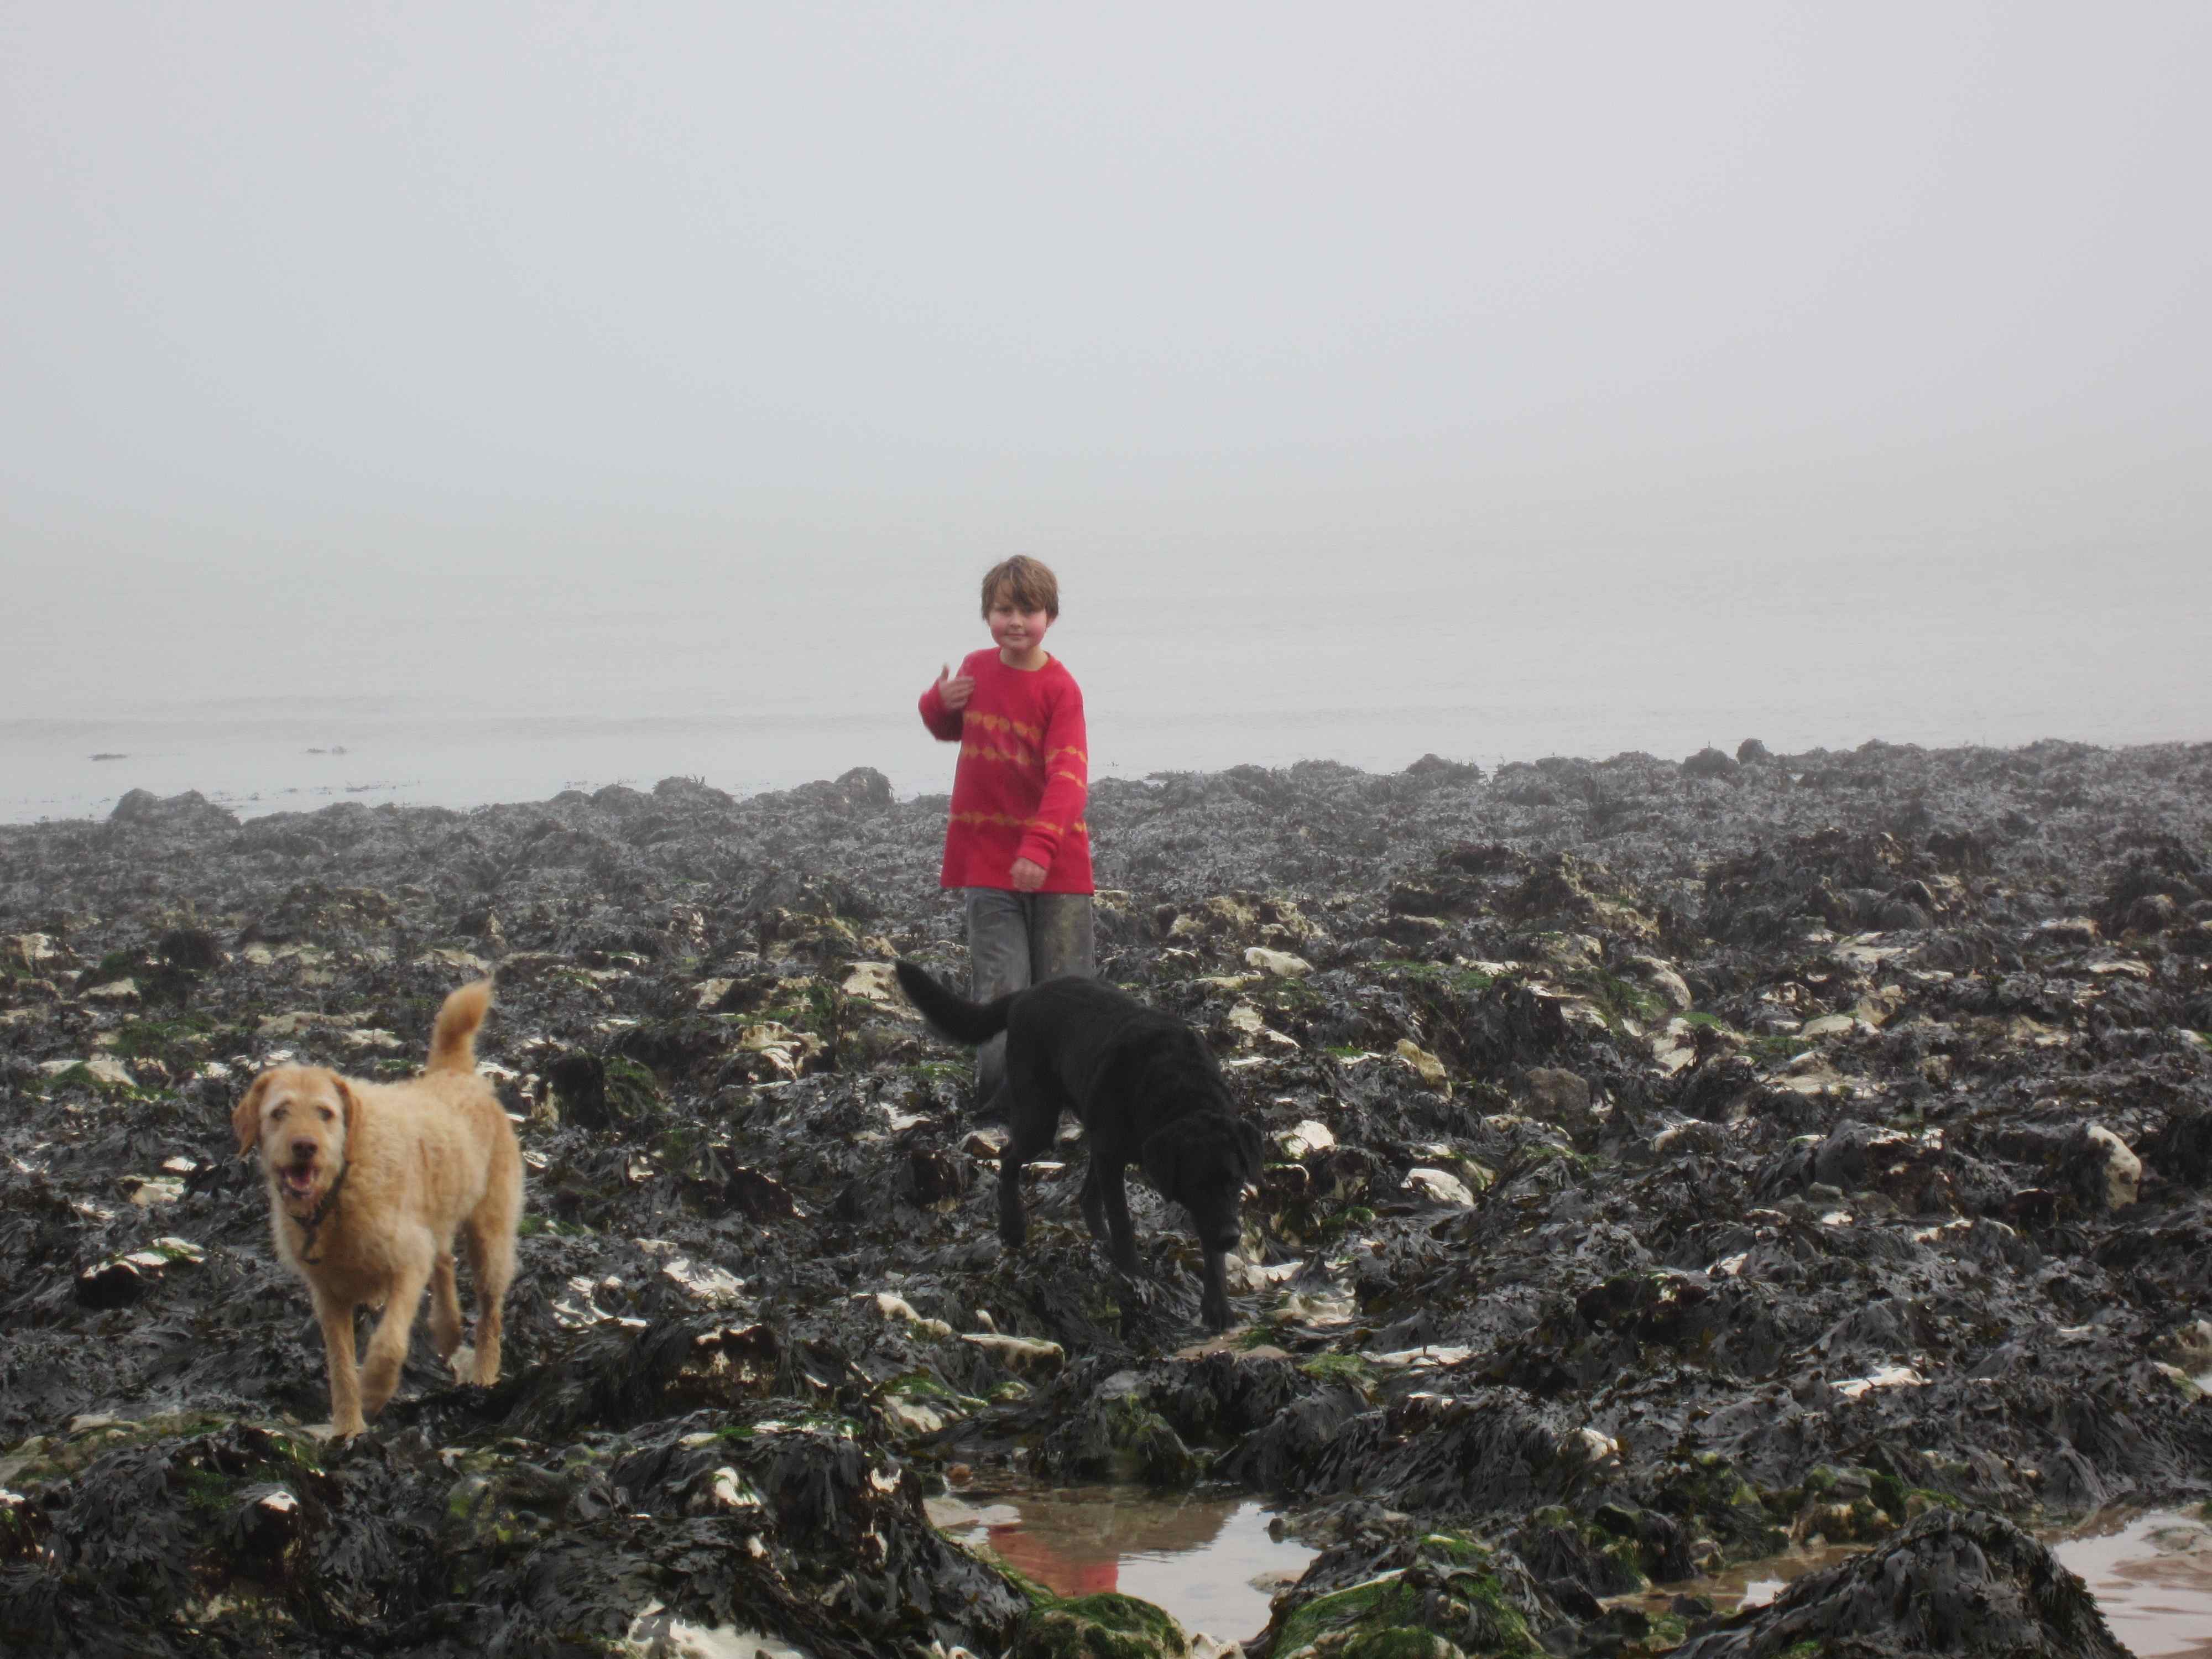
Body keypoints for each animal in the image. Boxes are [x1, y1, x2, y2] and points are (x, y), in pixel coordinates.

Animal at [232, 979, 522, 1437]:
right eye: (279, 1112)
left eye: (326, 1113)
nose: (305, 1147)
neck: (338, 1192)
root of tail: (454, 1072)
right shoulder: (329, 1296)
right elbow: (339, 1366)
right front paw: (348, 1429)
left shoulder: (406, 1263)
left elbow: (389, 1343)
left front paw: (375, 1391)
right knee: (443, 1260)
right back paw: (447, 1329)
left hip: (489, 1236)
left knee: (489, 1311)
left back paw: (484, 1374)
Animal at [895, 962, 1264, 1330]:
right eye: (1196, 1185)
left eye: (1236, 1181)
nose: (1232, 1237)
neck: (1182, 1093)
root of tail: (1027, 993)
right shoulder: (1114, 1156)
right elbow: (1123, 1222)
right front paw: (1136, 1276)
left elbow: (1209, 1247)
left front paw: (1218, 1305)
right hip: (1041, 1116)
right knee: (1009, 1159)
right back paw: (1013, 1228)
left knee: (1085, 1195)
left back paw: (1097, 1241)